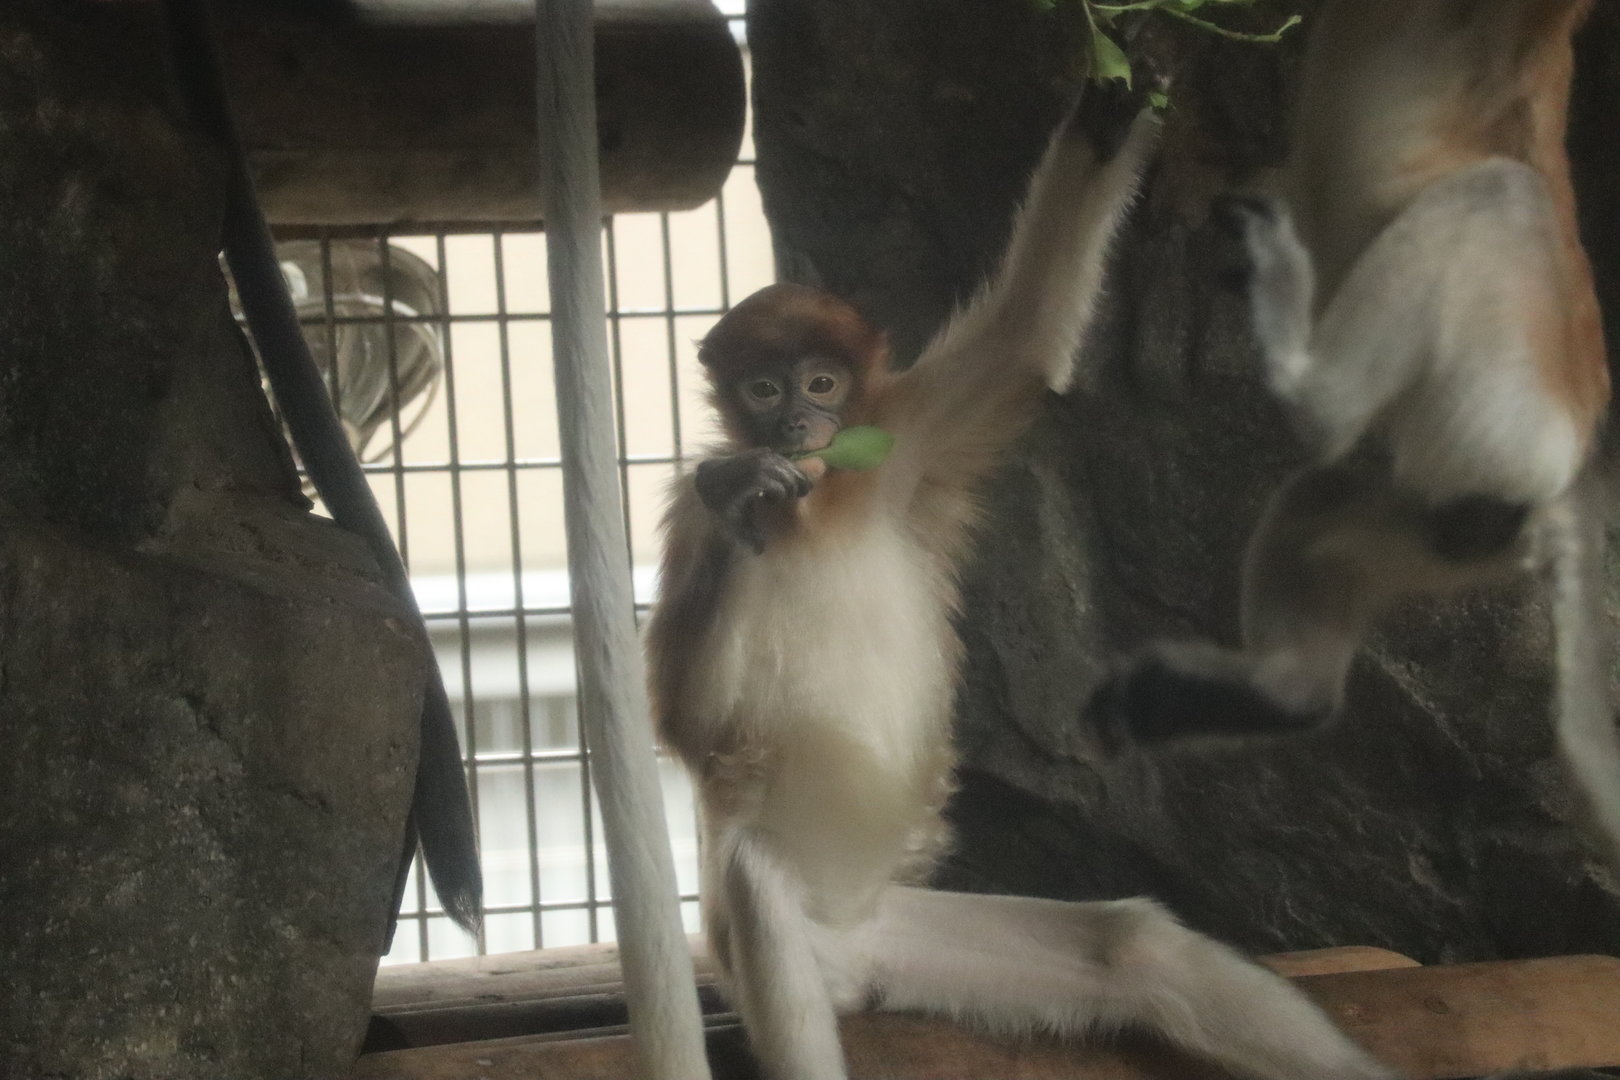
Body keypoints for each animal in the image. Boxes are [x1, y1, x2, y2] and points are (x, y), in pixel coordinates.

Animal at [646, 91, 1402, 1080]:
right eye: (764, 390)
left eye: (821, 382)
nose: (800, 425)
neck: (824, 504)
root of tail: (849, 953)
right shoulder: (688, 521)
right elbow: (688, 724)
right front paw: (745, 496)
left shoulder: (904, 444)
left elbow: (1027, 333)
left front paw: (1113, 109)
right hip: (753, 943)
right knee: (757, 876)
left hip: (901, 938)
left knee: (1132, 948)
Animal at [1084, 0, 1620, 864]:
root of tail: (1570, 471)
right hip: (1449, 521)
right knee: (1318, 506)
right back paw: (1282, 694)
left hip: (1500, 403)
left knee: (1499, 194)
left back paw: (1310, 387)